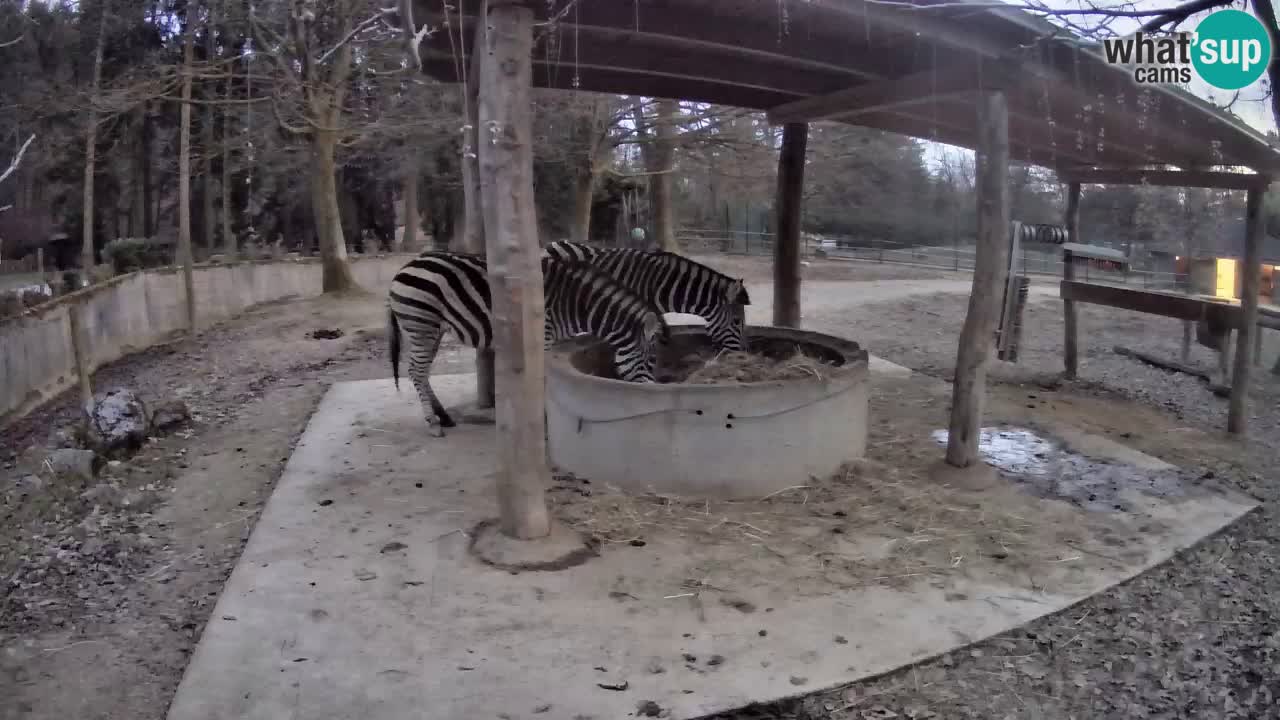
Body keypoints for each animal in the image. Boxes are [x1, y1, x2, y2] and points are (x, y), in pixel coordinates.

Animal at [386, 249, 670, 435]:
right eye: (651, 360)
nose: (655, 392)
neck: (576, 304)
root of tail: (405, 266)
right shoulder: (542, 336)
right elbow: (540, 379)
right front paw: (541, 420)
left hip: (432, 329)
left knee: (422, 372)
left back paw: (443, 417)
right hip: (421, 324)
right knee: (416, 370)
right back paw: (433, 424)